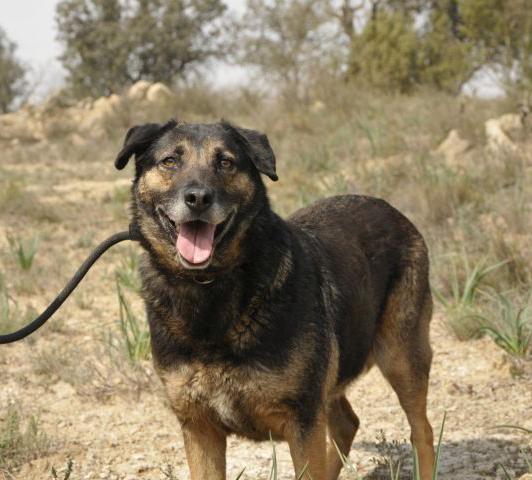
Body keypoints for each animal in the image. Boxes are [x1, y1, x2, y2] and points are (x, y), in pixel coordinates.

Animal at [114, 120, 434, 480]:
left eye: (225, 162)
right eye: (170, 161)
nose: (197, 198)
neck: (211, 287)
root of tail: (392, 209)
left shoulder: (303, 422)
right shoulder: (199, 427)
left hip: (400, 358)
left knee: (421, 430)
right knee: (347, 423)